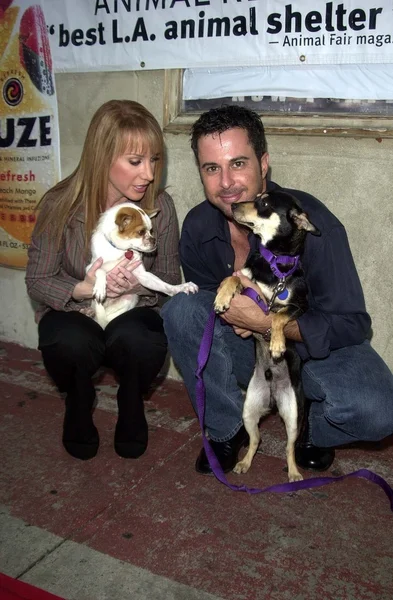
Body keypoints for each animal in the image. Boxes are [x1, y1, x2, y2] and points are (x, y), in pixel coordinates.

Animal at [214, 190, 318, 480]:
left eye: (264, 203)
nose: (233, 206)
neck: (275, 263)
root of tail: (272, 398)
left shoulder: (299, 307)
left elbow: (278, 317)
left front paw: (277, 345)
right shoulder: (249, 284)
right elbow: (233, 279)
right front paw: (222, 297)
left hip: (294, 416)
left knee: (289, 448)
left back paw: (293, 473)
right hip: (249, 410)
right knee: (255, 440)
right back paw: (244, 463)